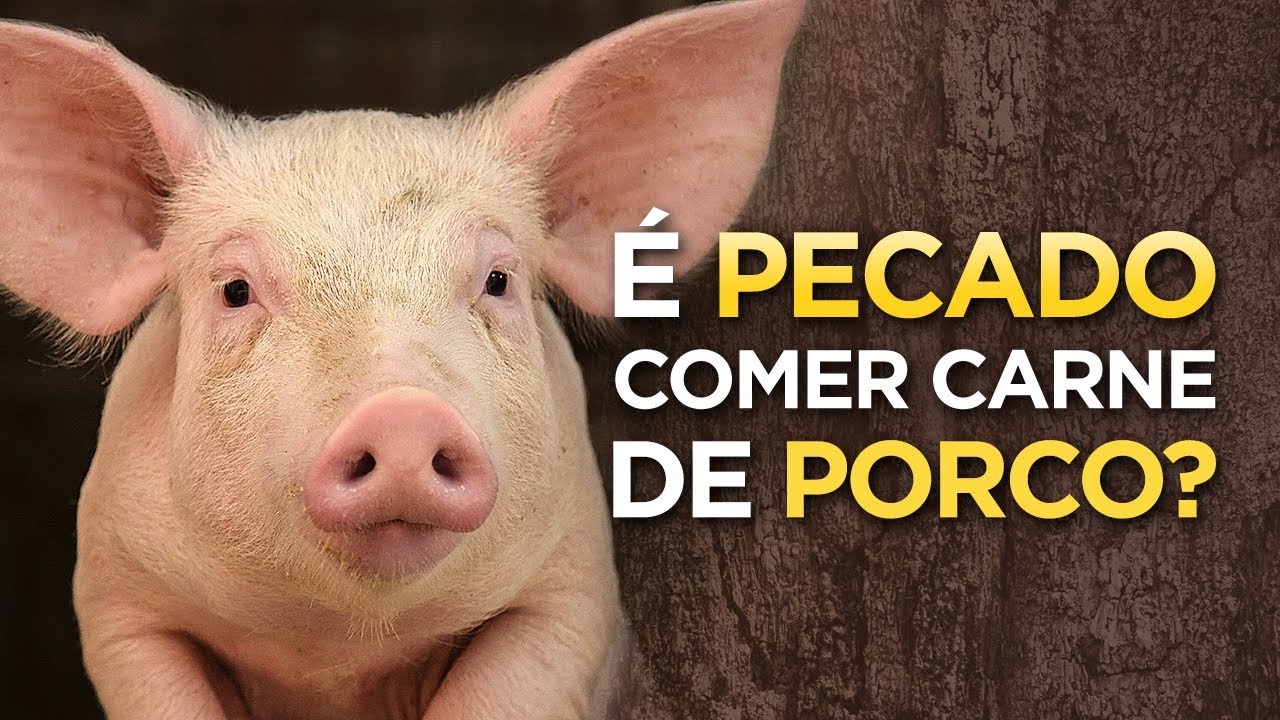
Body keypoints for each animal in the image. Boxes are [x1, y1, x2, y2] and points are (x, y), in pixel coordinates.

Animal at [0, 0, 801, 717]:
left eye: (497, 280)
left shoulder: (568, 590)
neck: (343, 652)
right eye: (235, 290)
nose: (402, 413)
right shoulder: (120, 599)